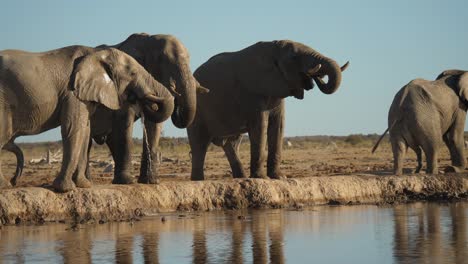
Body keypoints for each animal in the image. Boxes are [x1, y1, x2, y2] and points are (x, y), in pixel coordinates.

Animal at [189, 40, 348, 180]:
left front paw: (279, 177)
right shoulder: (252, 92)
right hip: (197, 109)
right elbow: (261, 126)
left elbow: (278, 126)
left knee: (232, 144)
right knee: (199, 143)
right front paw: (261, 178)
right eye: (294, 57)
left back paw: (240, 177)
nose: (315, 76)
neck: (273, 47)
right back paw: (199, 180)